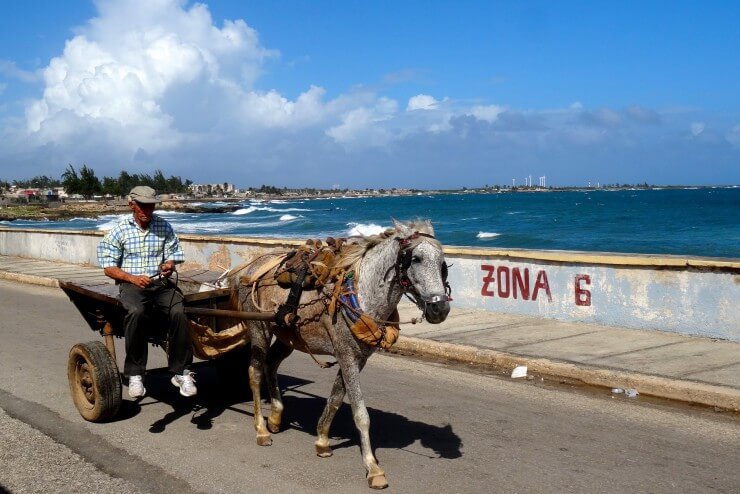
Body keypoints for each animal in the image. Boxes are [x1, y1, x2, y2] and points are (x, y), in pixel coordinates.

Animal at [228, 218, 450, 488]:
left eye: (442, 263)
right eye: (415, 259)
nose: (440, 308)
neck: (360, 293)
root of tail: (249, 269)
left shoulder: (357, 358)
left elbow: (335, 398)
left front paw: (322, 440)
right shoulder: (346, 355)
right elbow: (361, 414)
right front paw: (373, 468)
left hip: (287, 335)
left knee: (271, 364)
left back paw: (276, 417)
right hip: (259, 328)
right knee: (255, 372)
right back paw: (260, 429)